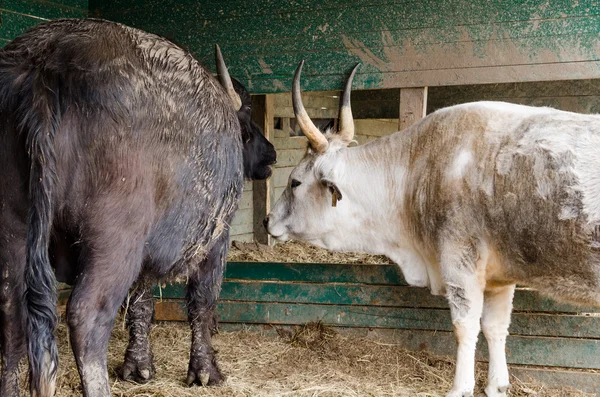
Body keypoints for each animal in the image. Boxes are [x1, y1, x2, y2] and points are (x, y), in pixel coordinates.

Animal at [264, 60, 600, 394]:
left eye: (295, 182)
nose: (267, 220)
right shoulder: (499, 276)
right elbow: (495, 328)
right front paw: (497, 385)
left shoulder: (459, 260)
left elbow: (465, 327)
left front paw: (460, 387)